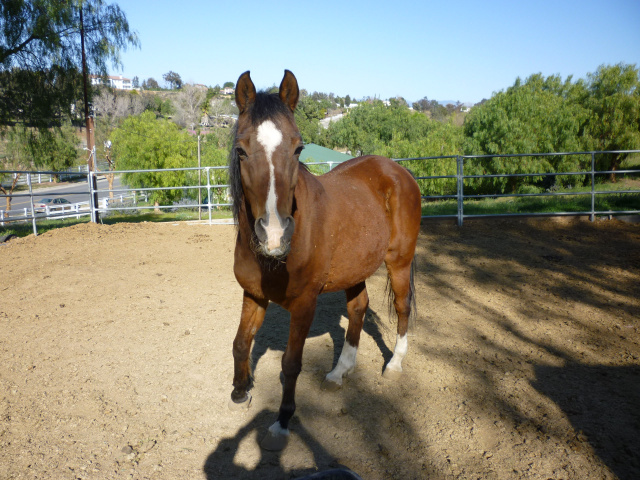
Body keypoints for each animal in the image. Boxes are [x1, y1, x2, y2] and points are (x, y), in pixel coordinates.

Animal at [228, 70, 422, 450]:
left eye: (298, 148)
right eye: (241, 150)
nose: (275, 234)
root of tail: (398, 172)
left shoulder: (304, 304)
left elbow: (291, 363)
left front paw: (283, 421)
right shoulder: (253, 295)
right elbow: (241, 342)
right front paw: (241, 392)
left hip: (399, 263)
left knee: (403, 308)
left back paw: (394, 365)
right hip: (355, 269)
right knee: (358, 308)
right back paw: (338, 371)